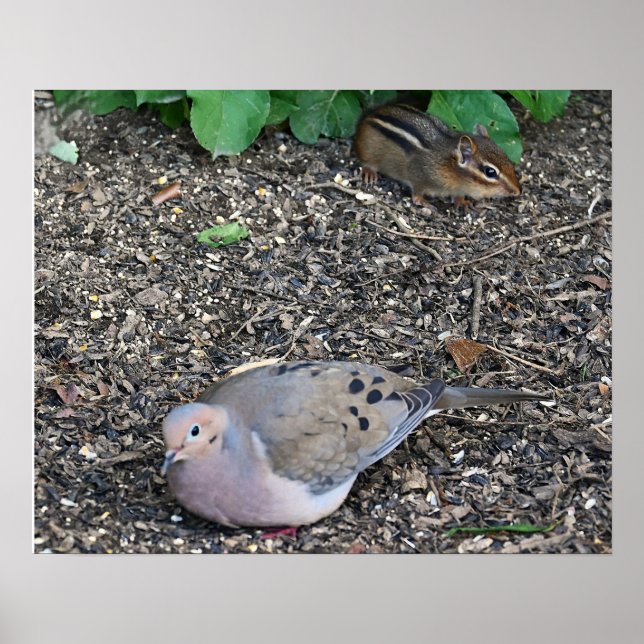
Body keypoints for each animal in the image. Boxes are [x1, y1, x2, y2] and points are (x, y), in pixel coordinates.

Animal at [354, 103, 521, 208]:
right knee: (367, 162)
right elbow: (417, 194)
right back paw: (369, 172)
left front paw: (461, 201)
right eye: (490, 172)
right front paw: (423, 201)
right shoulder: (418, 175)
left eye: (507, 158)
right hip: (368, 152)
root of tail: (369, 116)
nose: (518, 191)